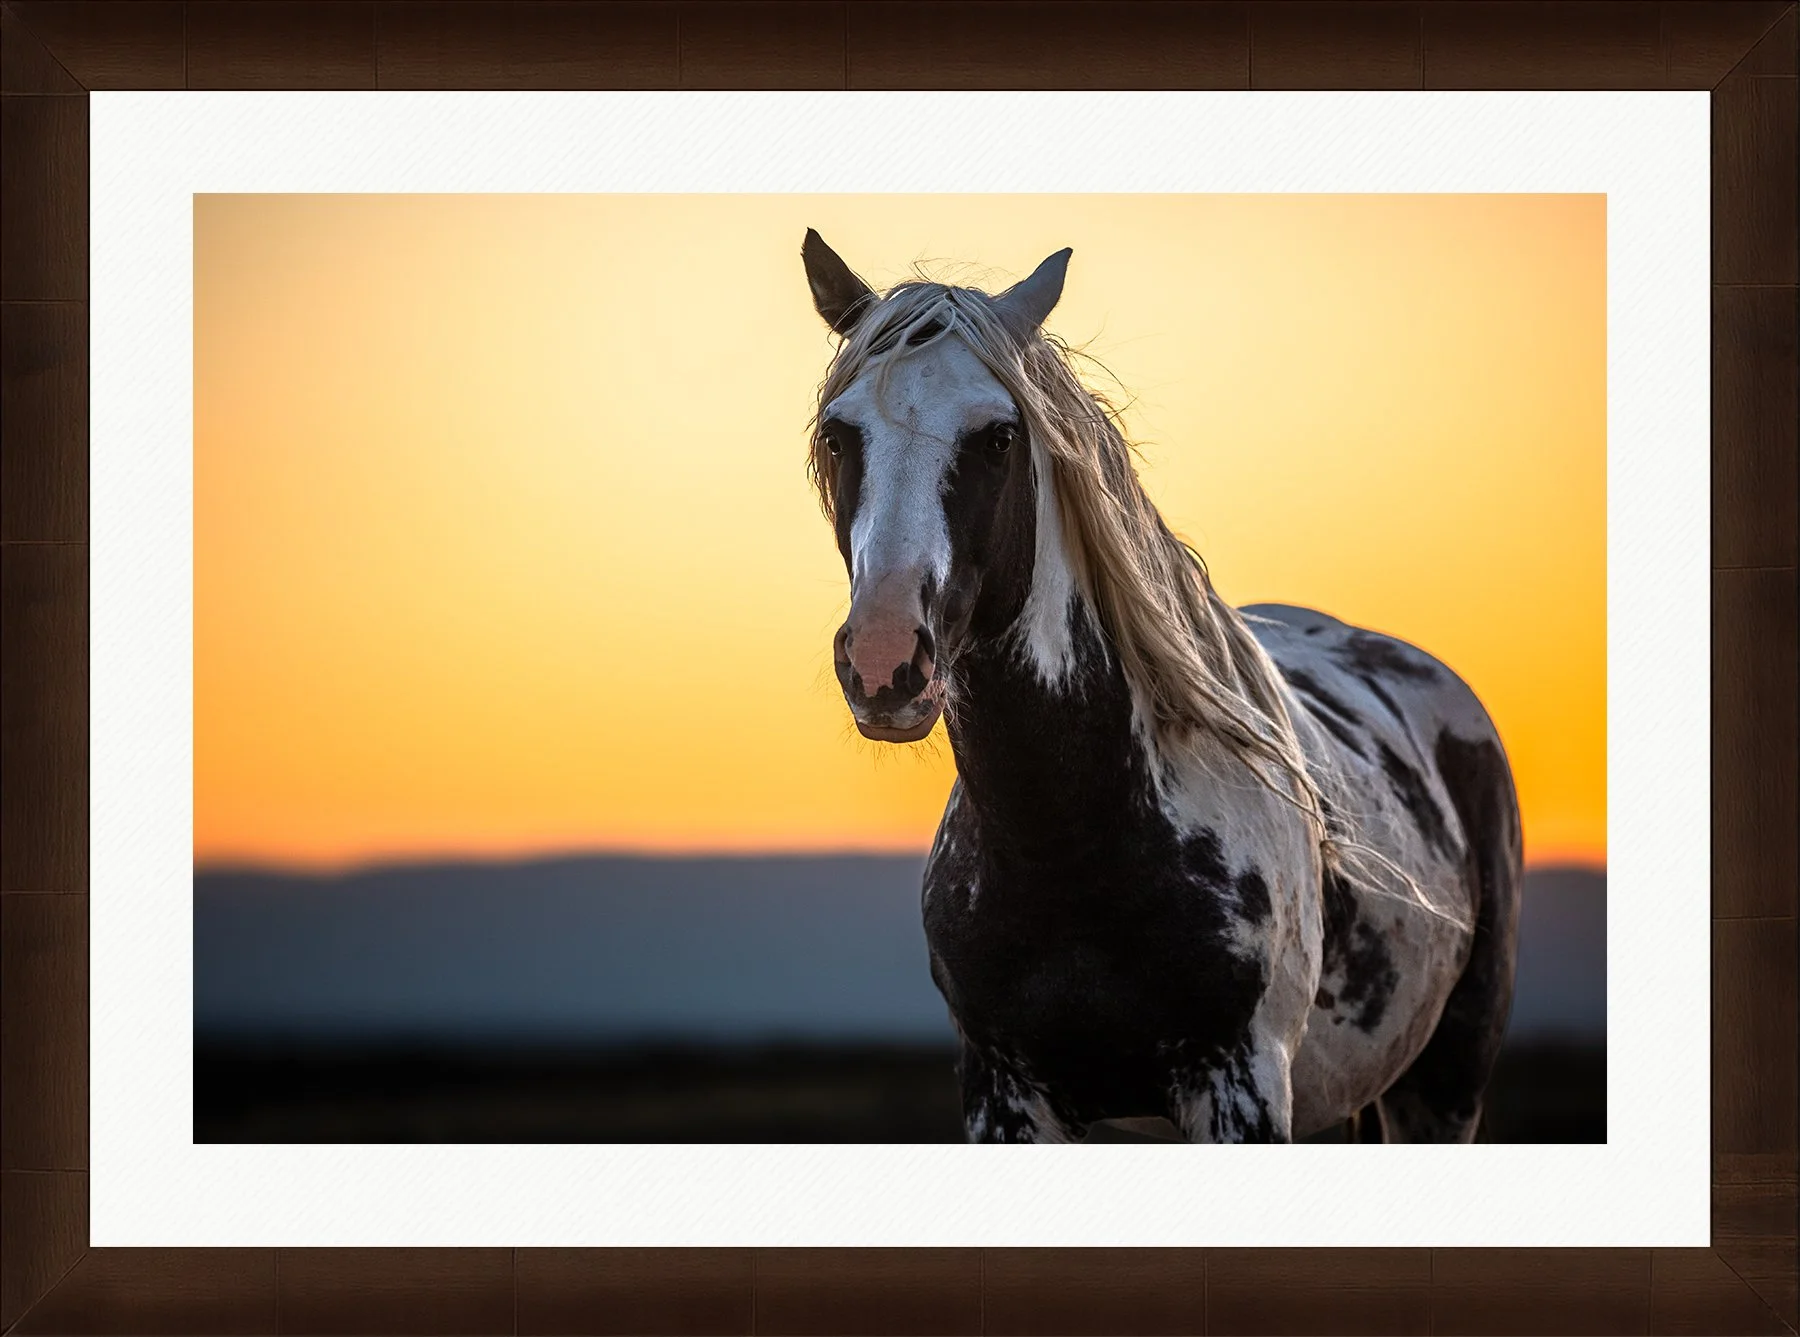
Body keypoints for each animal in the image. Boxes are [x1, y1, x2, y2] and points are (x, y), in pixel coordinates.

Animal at [799, 230, 1522, 1144]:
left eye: (1000, 436)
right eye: (837, 435)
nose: (887, 658)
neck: (1071, 841)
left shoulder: (1241, 1087)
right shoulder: (1004, 1096)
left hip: (1446, 1079)